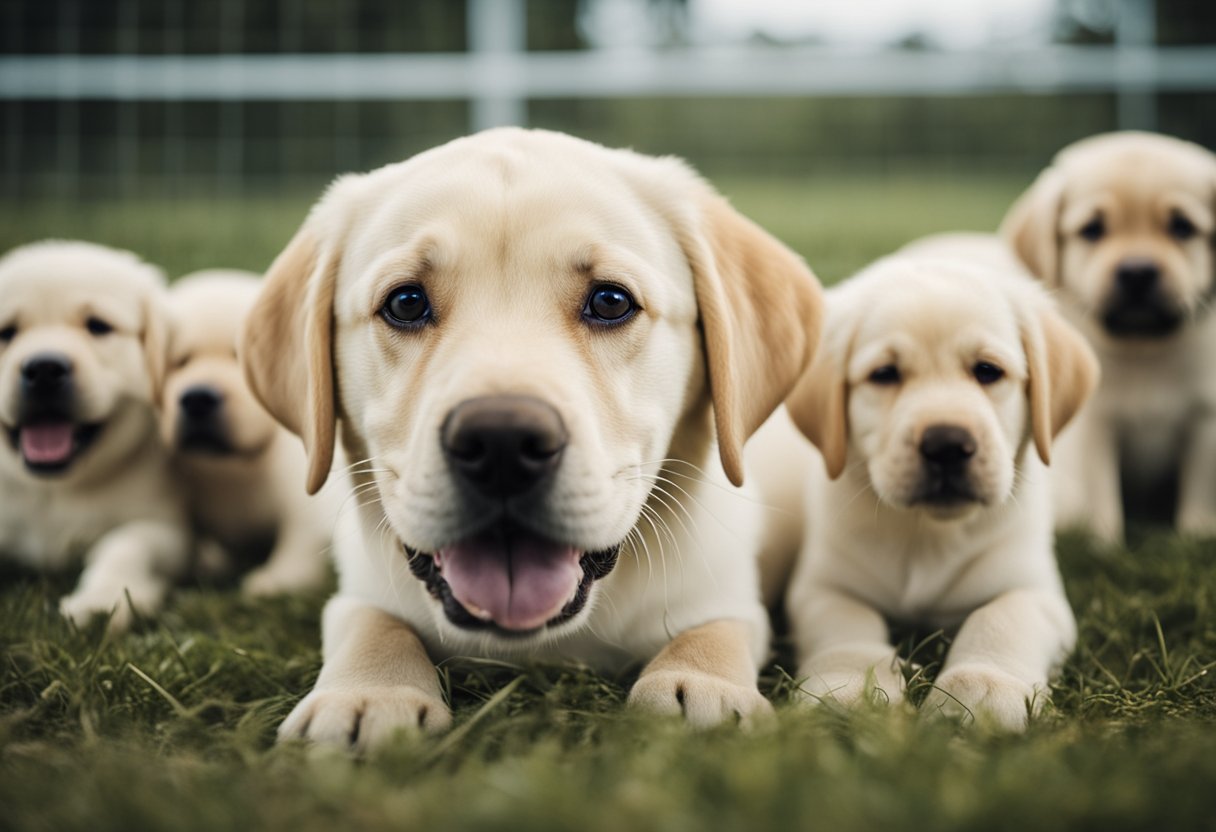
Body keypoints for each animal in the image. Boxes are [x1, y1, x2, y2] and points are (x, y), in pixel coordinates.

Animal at [0, 240, 190, 632]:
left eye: (98, 327)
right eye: (5, 333)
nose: (44, 368)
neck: (54, 489)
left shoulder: (164, 528)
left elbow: (124, 544)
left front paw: (102, 600)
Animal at [160, 272, 338, 598]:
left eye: (240, 359)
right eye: (180, 362)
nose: (198, 399)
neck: (236, 469)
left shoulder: (304, 497)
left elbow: (299, 540)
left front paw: (277, 580)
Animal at [240, 126, 822, 749]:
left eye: (611, 301)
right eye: (405, 302)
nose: (502, 445)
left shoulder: (730, 594)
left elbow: (718, 628)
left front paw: (702, 686)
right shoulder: (360, 591)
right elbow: (369, 623)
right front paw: (370, 693)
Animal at [783, 245, 1099, 729]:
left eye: (987, 371)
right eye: (884, 374)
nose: (947, 444)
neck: (927, 532)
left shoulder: (1036, 590)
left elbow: (1002, 616)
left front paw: (981, 689)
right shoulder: (822, 587)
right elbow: (847, 626)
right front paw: (850, 690)